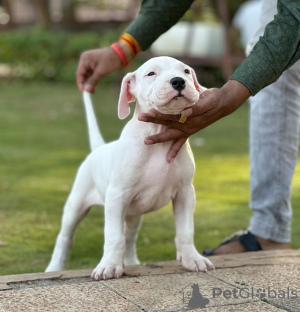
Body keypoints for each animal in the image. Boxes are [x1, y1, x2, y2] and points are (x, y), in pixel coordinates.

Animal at [45, 56, 214, 280]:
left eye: (186, 71)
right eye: (151, 73)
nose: (178, 81)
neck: (157, 135)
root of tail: (98, 148)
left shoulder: (185, 193)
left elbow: (185, 231)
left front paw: (192, 259)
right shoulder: (117, 196)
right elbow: (114, 236)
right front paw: (108, 265)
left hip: (134, 213)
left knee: (130, 237)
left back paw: (132, 261)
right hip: (77, 204)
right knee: (65, 237)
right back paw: (54, 267)